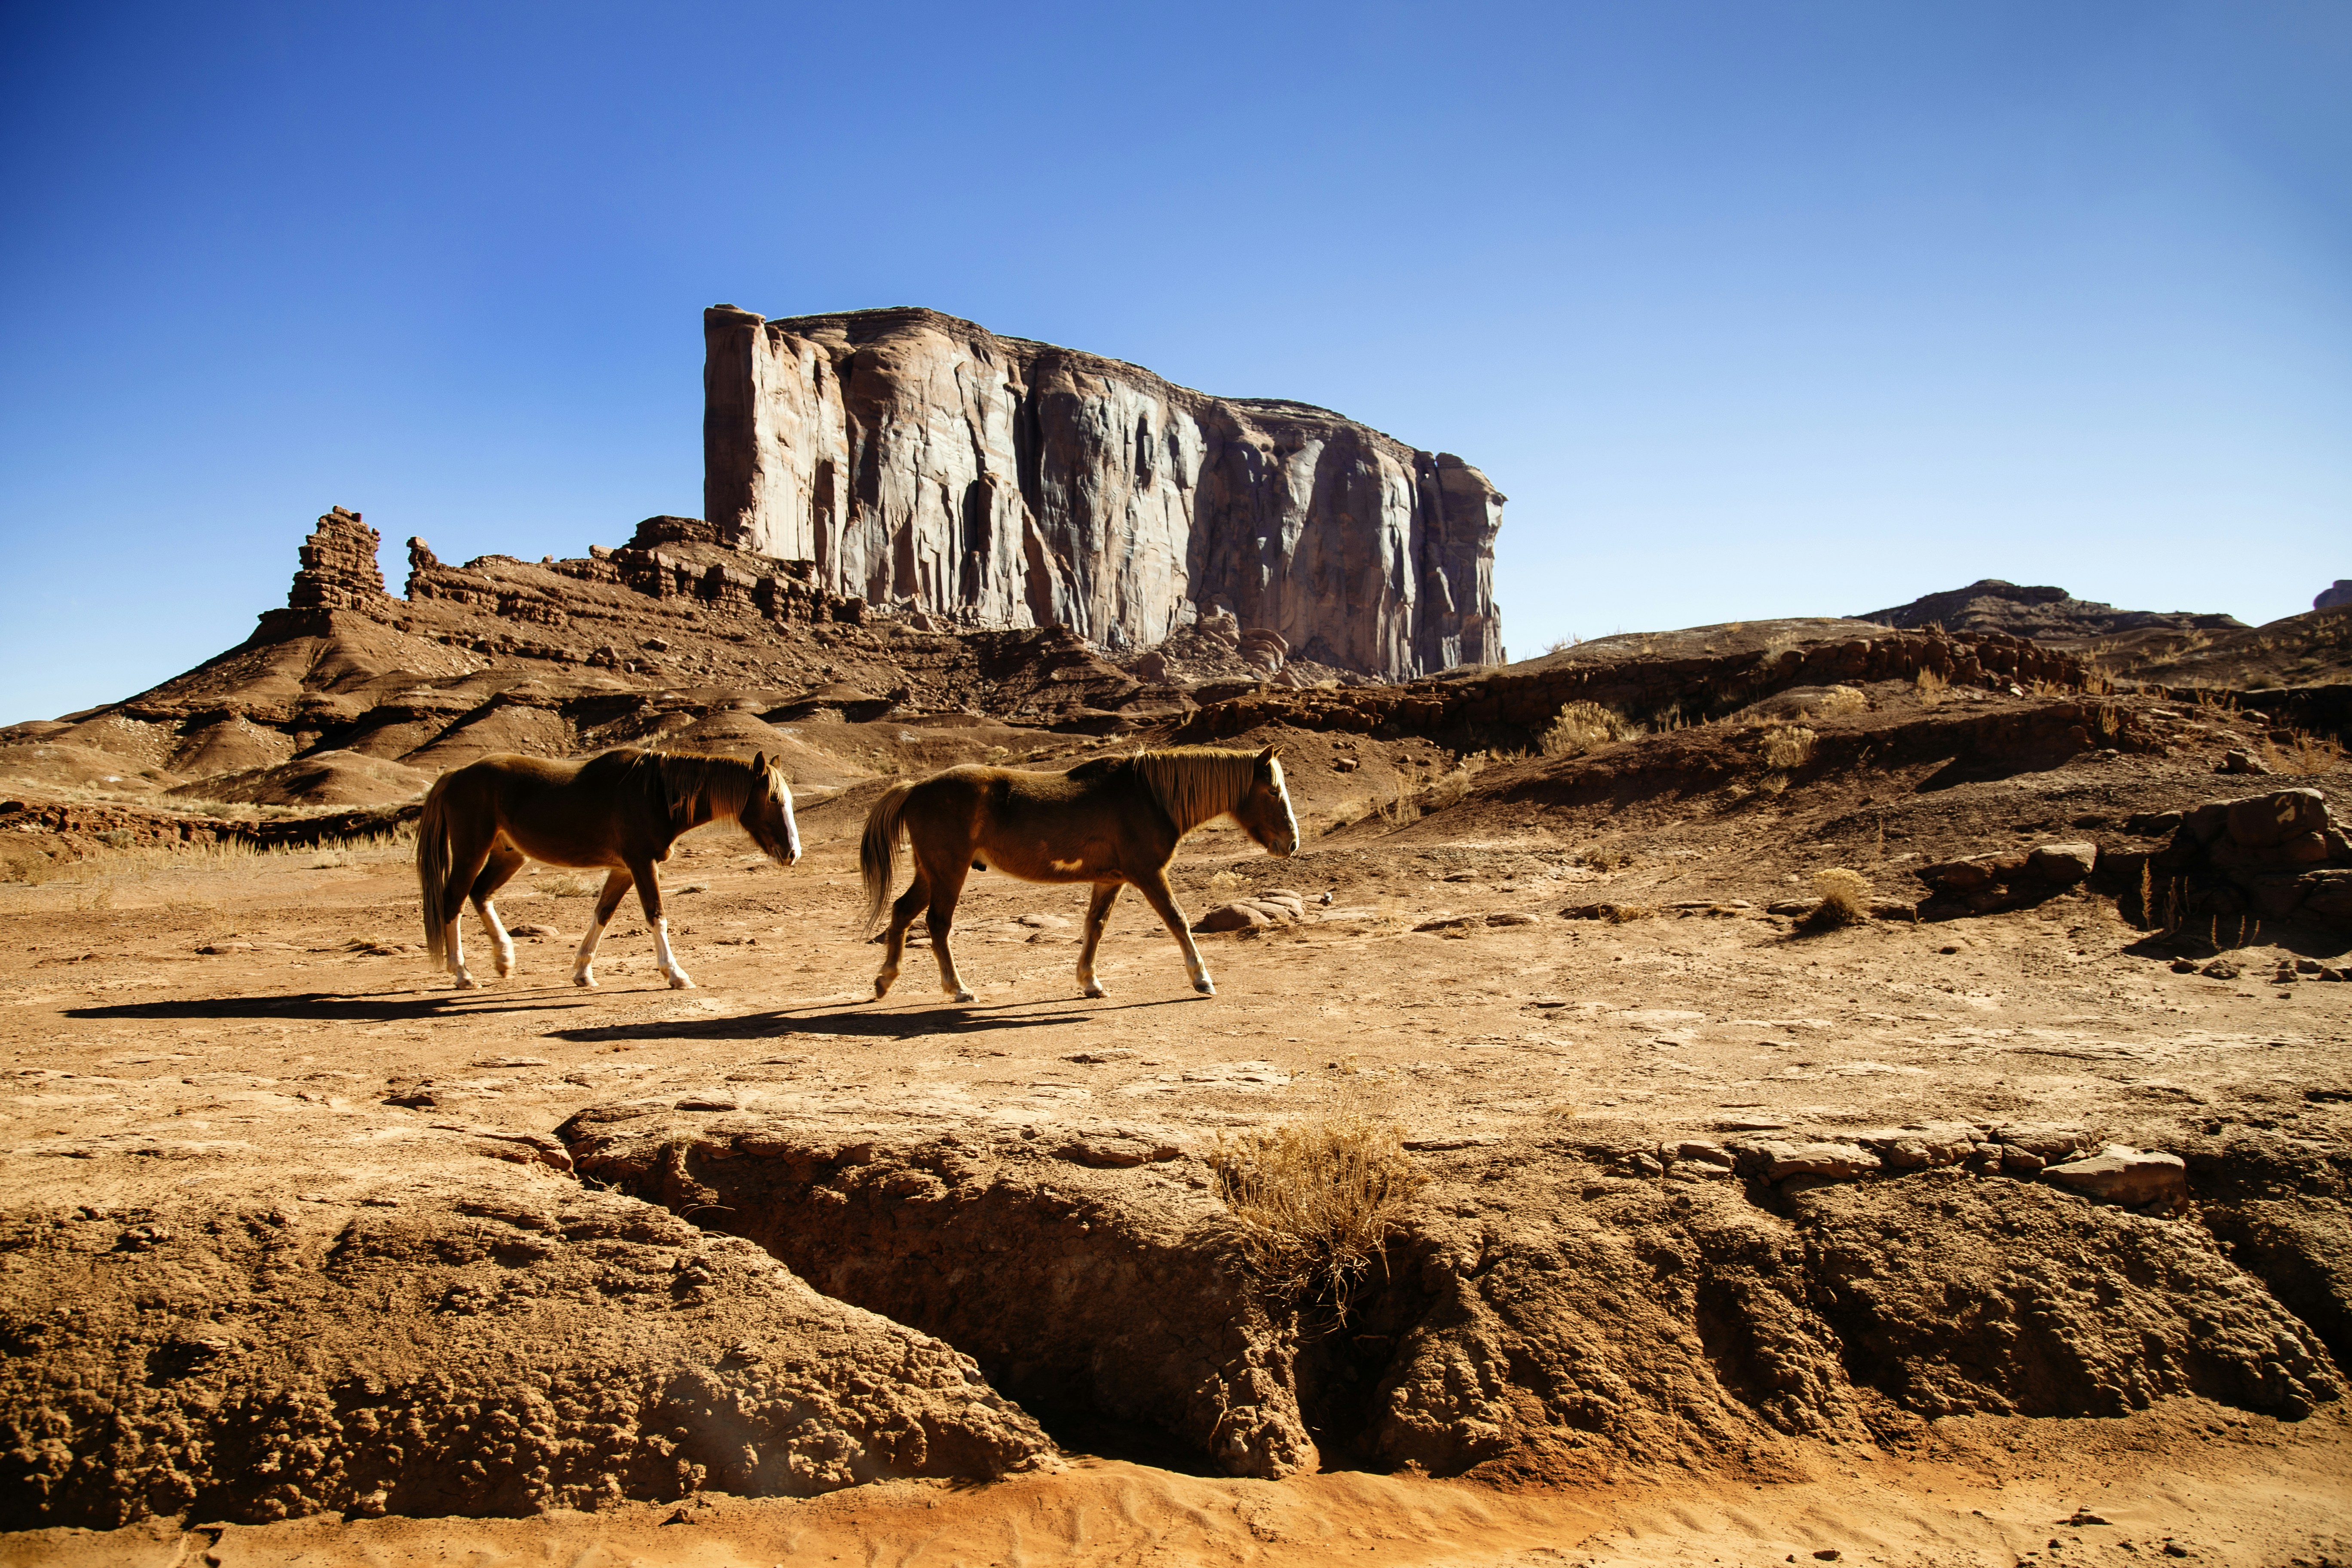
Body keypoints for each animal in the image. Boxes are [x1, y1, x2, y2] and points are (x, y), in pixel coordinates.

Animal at [416, 748, 800, 991]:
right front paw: (676, 974)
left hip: (509, 854)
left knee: (481, 894)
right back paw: (463, 974)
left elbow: (602, 914)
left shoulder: (624, 869)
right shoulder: (641, 862)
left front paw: (582, 973)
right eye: (772, 799)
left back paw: (504, 960)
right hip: (472, 850)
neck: (654, 793)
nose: (792, 853)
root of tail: (455, 775)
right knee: (453, 901)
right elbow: (656, 916)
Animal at [858, 744, 1297, 1003]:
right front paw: (1202, 979)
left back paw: (884, 981)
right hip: (949, 871)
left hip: (931, 872)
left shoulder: (1111, 878)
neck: (1150, 796)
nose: (1291, 843)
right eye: (1273, 791)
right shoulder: (1148, 873)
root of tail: (915, 789)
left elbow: (1095, 927)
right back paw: (958, 989)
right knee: (938, 924)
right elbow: (1177, 920)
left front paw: (1090, 982)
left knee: (902, 912)